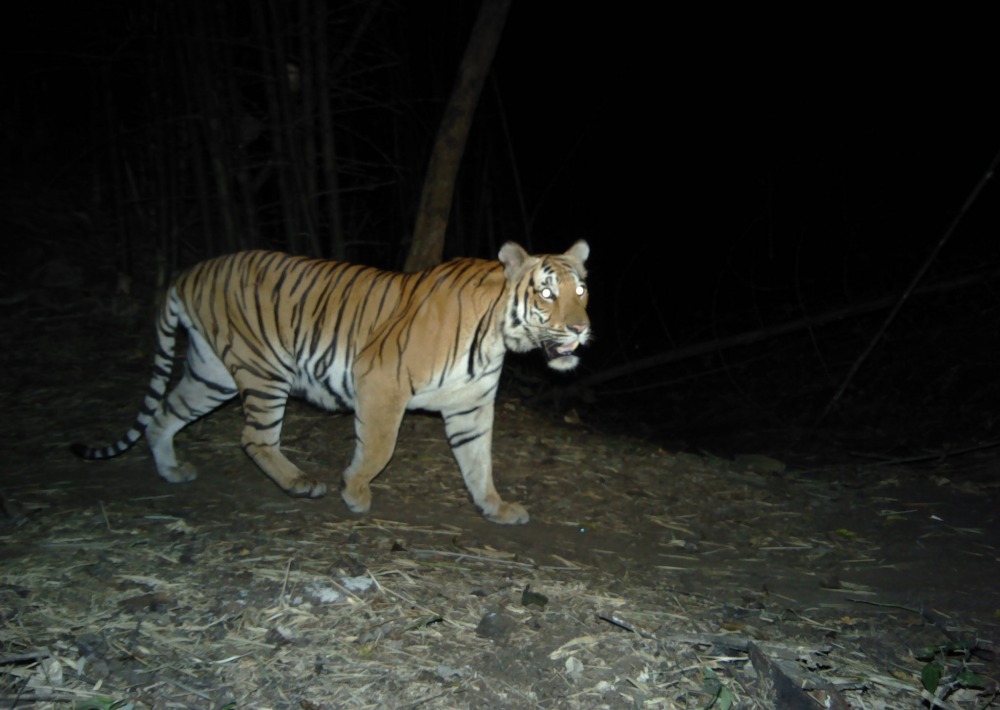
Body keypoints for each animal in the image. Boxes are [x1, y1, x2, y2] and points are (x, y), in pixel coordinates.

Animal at [74, 242, 588, 524]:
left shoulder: (470, 407)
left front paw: (494, 508)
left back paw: (171, 471)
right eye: (547, 293)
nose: (581, 329)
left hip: (211, 372)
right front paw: (355, 491)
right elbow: (378, 448)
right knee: (253, 438)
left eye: (581, 290)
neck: (498, 337)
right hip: (264, 370)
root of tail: (187, 273)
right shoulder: (380, 382)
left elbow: (479, 463)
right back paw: (300, 483)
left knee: (163, 415)